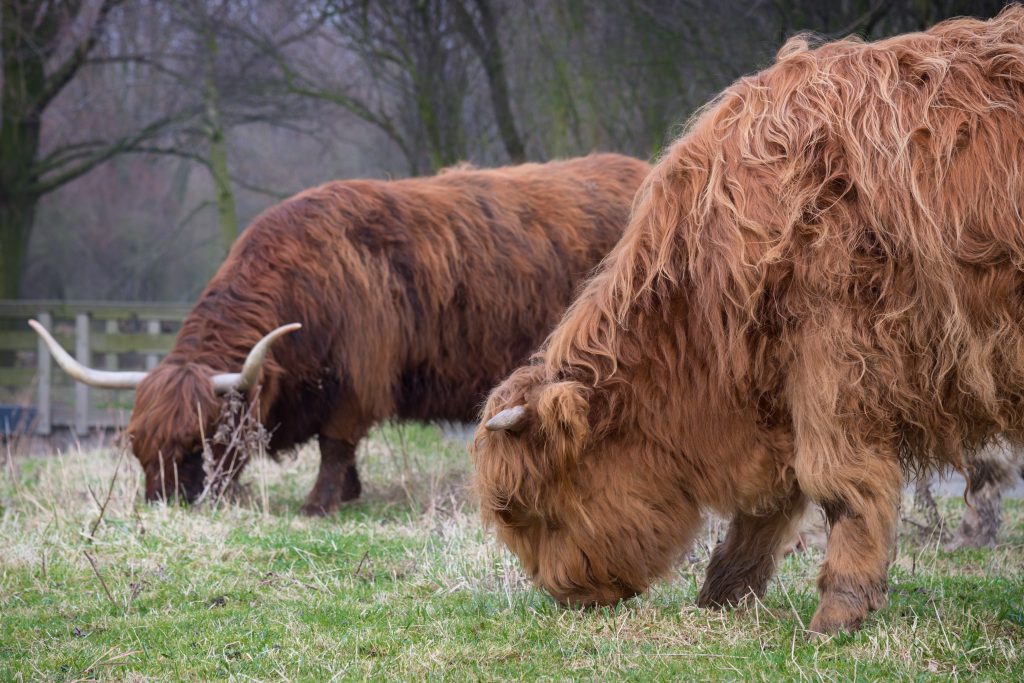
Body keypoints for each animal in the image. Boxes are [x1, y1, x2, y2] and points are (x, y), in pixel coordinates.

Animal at [39, 154, 651, 516]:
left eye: (199, 441)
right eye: (137, 444)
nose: (164, 504)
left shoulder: (358, 374)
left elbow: (335, 445)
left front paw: (319, 503)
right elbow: (342, 451)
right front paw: (350, 493)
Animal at [475, 6, 1024, 634]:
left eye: (534, 508)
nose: (564, 595)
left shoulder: (835, 353)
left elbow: (836, 480)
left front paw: (838, 608)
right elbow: (772, 500)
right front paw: (724, 592)